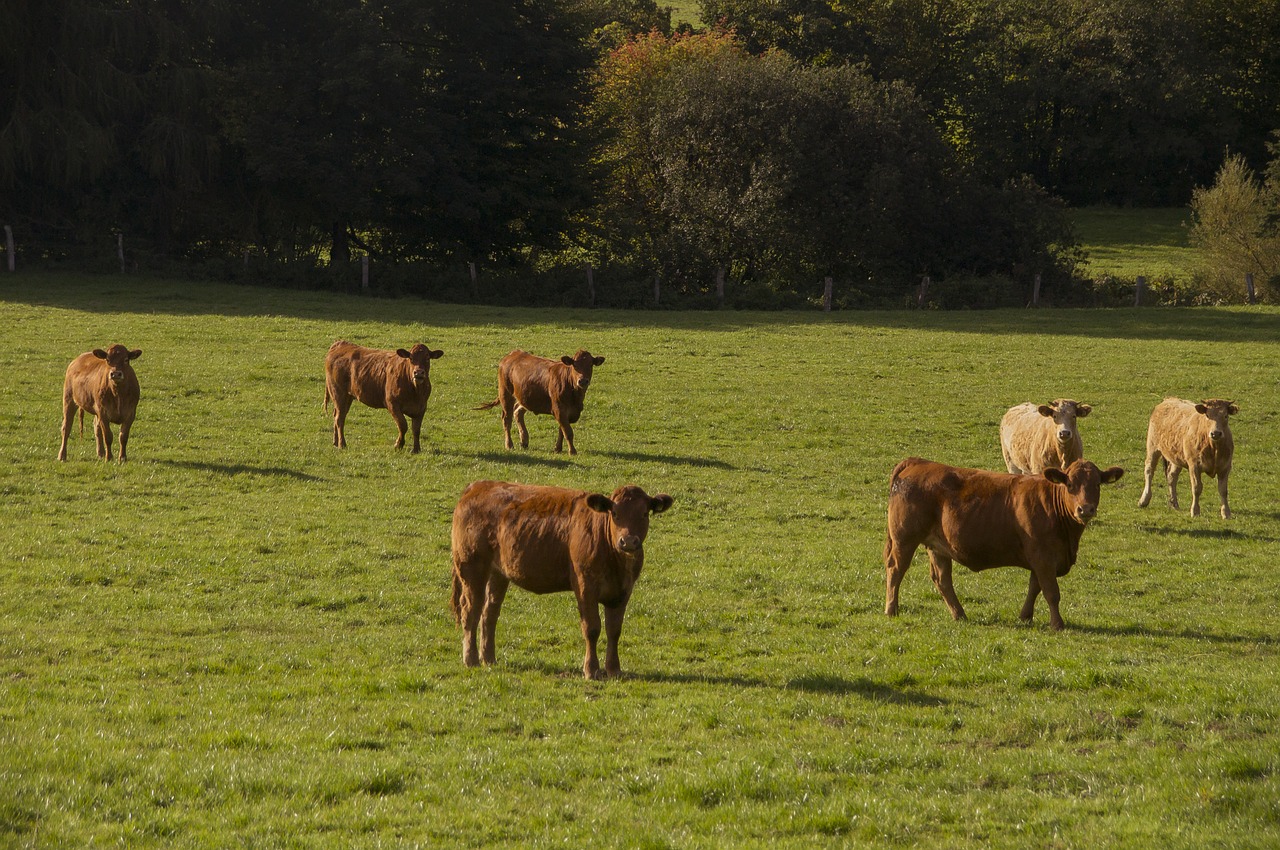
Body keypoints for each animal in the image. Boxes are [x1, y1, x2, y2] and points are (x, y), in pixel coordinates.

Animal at [450, 481, 675, 681]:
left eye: (644, 513)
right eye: (615, 513)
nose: (628, 542)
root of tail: (477, 486)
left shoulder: (623, 591)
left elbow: (614, 631)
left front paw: (614, 670)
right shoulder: (585, 587)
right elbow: (592, 628)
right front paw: (591, 670)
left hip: (498, 573)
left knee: (489, 613)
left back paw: (489, 659)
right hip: (471, 568)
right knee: (471, 611)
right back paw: (471, 659)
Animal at [476, 348, 604, 455]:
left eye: (590, 365)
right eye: (574, 365)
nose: (583, 381)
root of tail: (512, 354)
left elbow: (561, 430)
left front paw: (558, 448)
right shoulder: (559, 409)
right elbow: (568, 432)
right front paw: (572, 451)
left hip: (525, 398)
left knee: (518, 412)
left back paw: (524, 441)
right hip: (505, 393)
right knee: (507, 419)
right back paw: (509, 445)